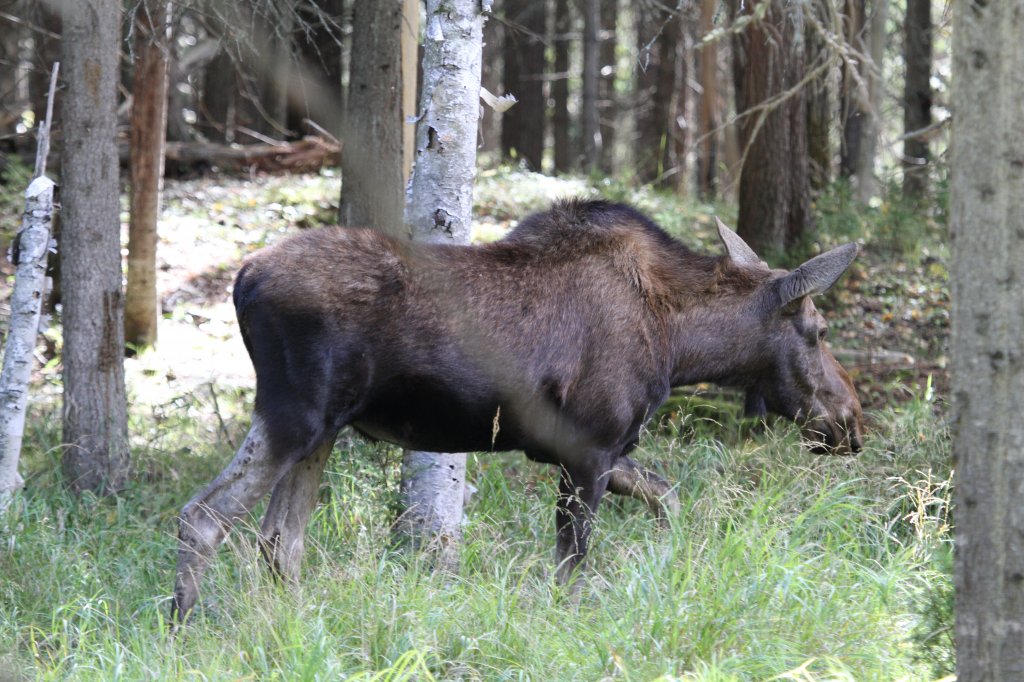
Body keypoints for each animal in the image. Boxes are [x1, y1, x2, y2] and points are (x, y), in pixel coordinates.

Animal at [172, 199, 860, 618]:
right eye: (818, 330)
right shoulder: (588, 448)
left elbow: (668, 498)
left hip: (323, 432)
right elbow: (571, 569)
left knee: (279, 541)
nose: (851, 422)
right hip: (294, 416)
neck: (681, 344)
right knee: (202, 517)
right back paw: (185, 630)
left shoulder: (599, 449)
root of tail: (241, 278)